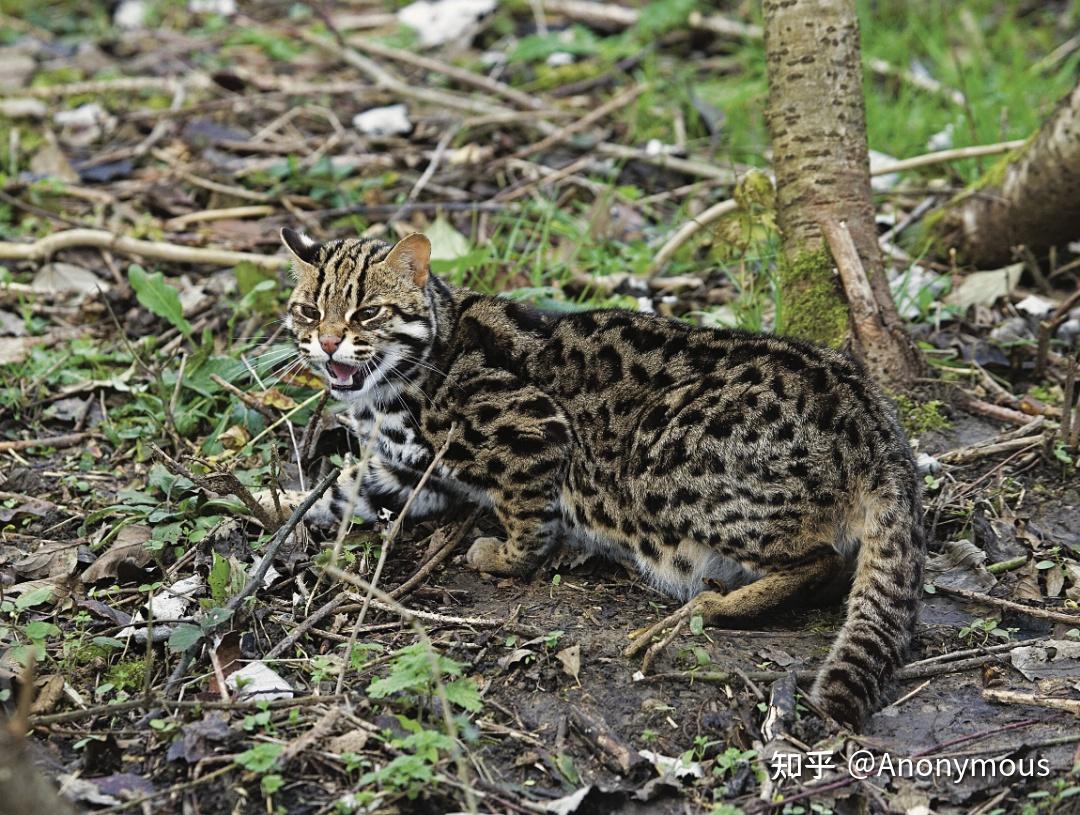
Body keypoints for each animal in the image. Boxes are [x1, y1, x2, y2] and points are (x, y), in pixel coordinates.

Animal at [270, 227, 928, 725]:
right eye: (308, 310)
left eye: (367, 312)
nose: (327, 341)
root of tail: (872, 417)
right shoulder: (411, 473)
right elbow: (340, 490)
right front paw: (275, 510)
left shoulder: (533, 429)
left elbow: (525, 518)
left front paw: (504, 557)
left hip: (663, 457)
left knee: (823, 562)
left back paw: (705, 607)